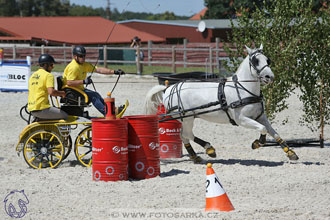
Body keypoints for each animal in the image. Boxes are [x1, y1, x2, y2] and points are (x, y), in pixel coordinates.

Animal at [144, 44, 300, 162]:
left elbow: (273, 132)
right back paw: (208, 149)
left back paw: (197, 155)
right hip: (187, 118)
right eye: (255, 61)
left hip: (188, 118)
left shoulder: (260, 116)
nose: (269, 77)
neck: (243, 89)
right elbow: (263, 129)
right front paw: (257, 143)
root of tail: (168, 88)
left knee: (184, 136)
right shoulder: (241, 120)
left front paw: (290, 152)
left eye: (268, 60)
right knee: (187, 135)